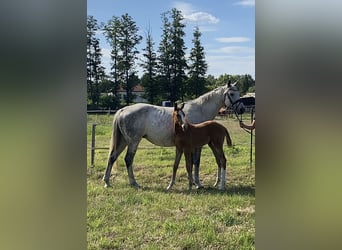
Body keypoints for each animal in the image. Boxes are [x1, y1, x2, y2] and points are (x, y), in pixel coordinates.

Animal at [101, 81, 243, 188]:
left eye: (238, 93)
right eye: (231, 93)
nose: (241, 108)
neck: (200, 109)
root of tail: (123, 109)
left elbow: (192, 164)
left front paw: (193, 182)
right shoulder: (197, 146)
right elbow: (196, 163)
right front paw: (198, 184)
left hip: (124, 141)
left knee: (112, 157)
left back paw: (107, 182)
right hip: (133, 142)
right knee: (128, 159)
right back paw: (134, 183)